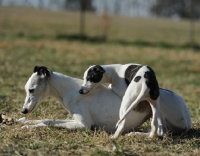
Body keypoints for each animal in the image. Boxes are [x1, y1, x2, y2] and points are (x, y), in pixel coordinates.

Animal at [19, 65, 152, 133]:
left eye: (31, 90)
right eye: (26, 89)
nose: (23, 111)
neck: (71, 90)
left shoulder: (84, 125)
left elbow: (48, 122)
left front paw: (29, 126)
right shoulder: (76, 120)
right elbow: (48, 120)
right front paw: (23, 121)